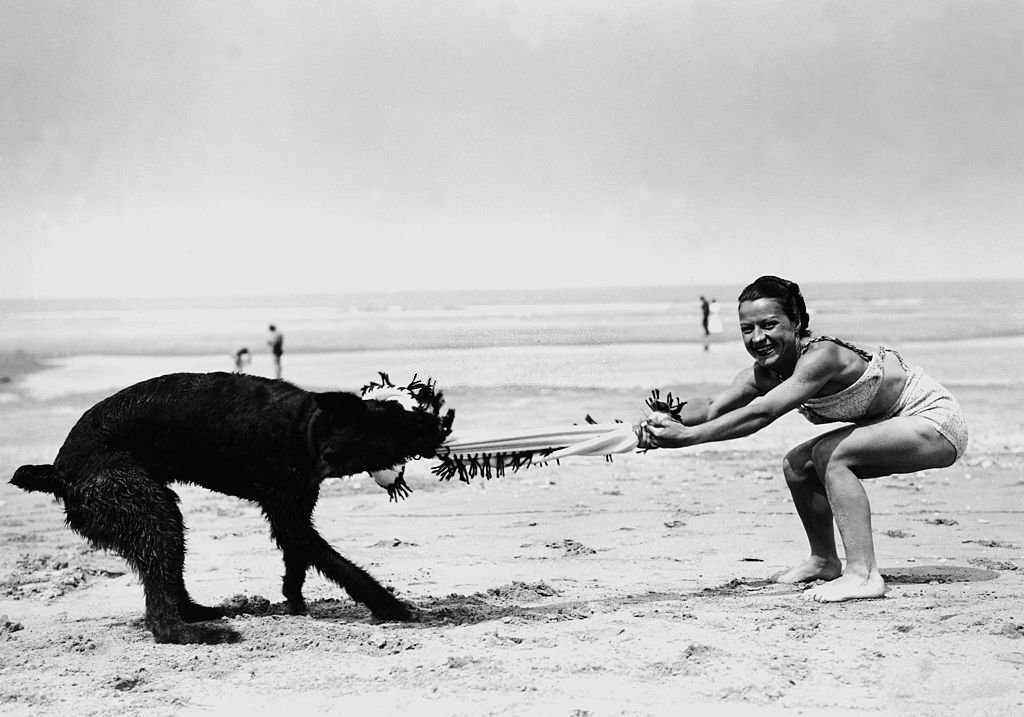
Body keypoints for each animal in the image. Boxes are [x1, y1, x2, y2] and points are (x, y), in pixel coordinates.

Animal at [8, 372, 448, 647]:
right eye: (394, 422)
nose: (442, 425)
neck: (306, 428)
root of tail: (59, 472)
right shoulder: (290, 514)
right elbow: (342, 567)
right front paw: (391, 607)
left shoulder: (294, 516)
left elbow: (298, 561)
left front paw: (294, 601)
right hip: (148, 510)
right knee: (159, 606)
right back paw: (195, 634)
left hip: (156, 516)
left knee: (169, 579)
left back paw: (200, 613)